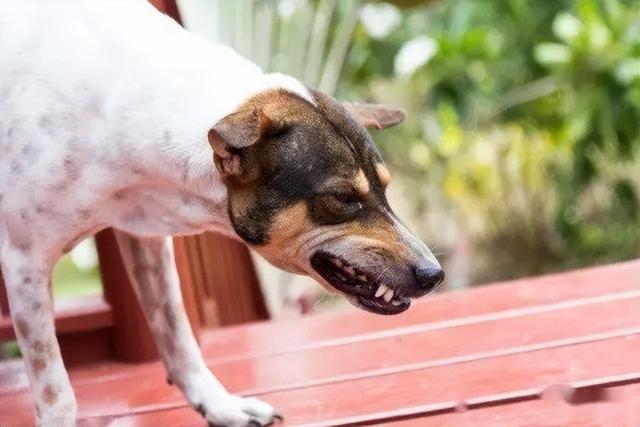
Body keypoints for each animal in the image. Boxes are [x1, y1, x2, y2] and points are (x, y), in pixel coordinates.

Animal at [0, 1, 442, 426]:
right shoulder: (24, 262)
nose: (433, 274)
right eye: (342, 197)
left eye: (385, 187)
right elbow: (56, 392)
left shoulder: (146, 238)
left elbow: (177, 332)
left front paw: (219, 406)